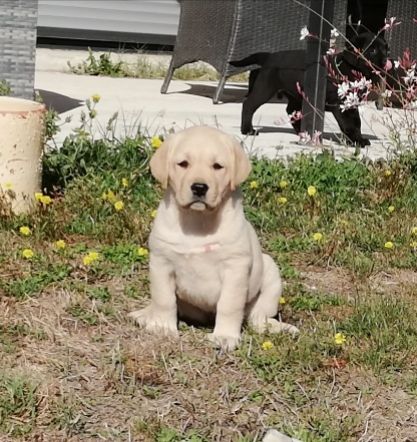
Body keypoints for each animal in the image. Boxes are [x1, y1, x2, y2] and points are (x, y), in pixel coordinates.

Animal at [128, 126, 298, 350]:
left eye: (217, 166)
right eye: (183, 164)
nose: (199, 187)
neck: (198, 222)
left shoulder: (235, 268)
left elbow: (229, 304)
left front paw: (224, 336)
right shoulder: (161, 262)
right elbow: (163, 299)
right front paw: (163, 327)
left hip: (270, 273)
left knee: (258, 318)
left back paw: (279, 327)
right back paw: (144, 314)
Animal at [229, 33, 388, 147]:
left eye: (386, 49)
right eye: (373, 50)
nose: (386, 61)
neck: (349, 69)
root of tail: (269, 56)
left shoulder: (352, 104)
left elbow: (357, 123)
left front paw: (359, 138)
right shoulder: (341, 105)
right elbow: (349, 124)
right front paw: (356, 141)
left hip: (295, 94)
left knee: (290, 110)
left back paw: (302, 131)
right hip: (265, 88)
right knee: (249, 104)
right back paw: (248, 130)